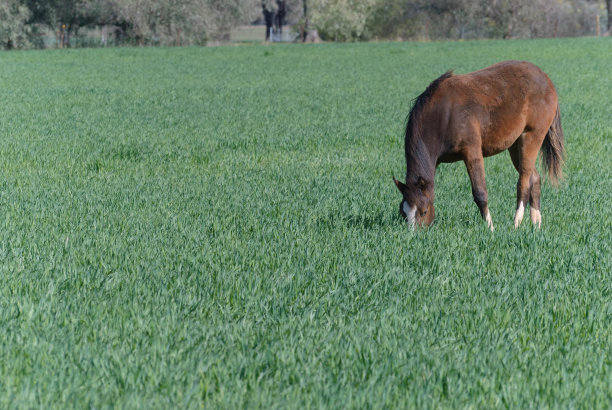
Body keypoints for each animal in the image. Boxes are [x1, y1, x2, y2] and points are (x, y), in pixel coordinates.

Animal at [394, 60, 568, 231]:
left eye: (423, 212)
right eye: (403, 213)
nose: (414, 235)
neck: (443, 115)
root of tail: (546, 79)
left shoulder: (472, 151)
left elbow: (480, 193)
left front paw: (490, 228)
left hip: (532, 137)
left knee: (524, 182)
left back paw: (516, 223)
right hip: (515, 145)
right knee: (535, 178)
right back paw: (536, 224)